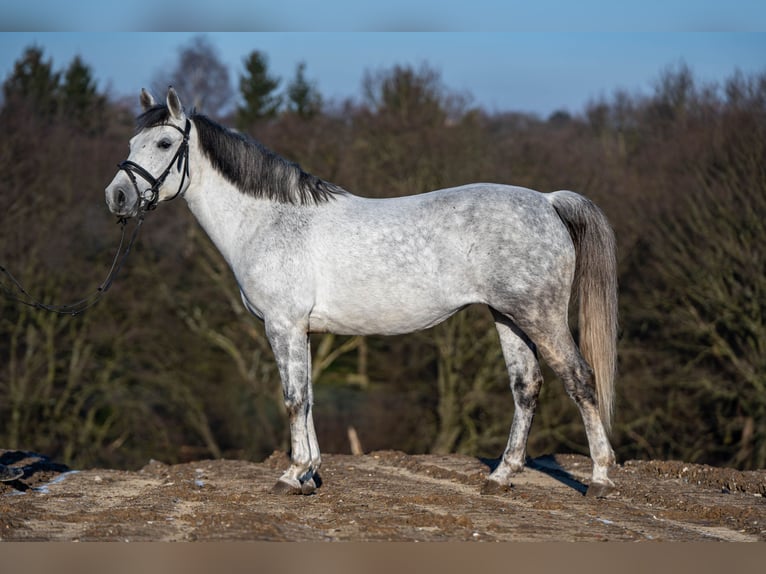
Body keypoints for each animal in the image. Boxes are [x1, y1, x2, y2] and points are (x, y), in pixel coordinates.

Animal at [105, 88, 620, 498]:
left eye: (165, 143)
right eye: (131, 143)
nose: (117, 197)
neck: (269, 220)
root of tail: (547, 202)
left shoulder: (283, 325)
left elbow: (293, 398)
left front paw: (291, 475)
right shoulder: (302, 330)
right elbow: (309, 397)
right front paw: (310, 474)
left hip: (539, 316)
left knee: (580, 379)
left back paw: (598, 479)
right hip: (508, 316)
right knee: (526, 388)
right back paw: (500, 477)